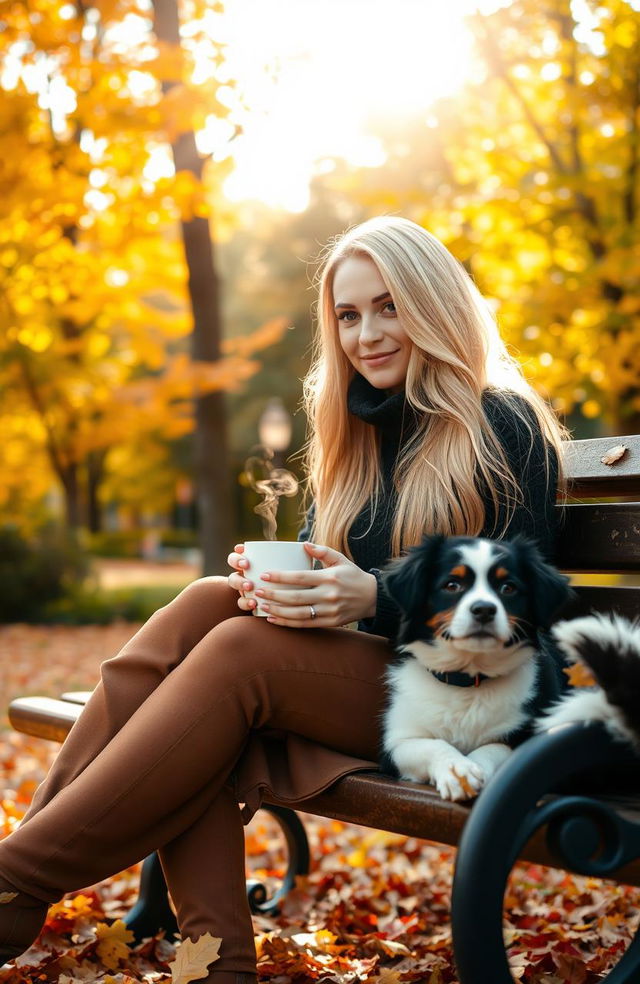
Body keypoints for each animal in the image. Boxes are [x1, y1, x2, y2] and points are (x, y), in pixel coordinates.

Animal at [378, 540, 572, 800]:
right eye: (452, 585)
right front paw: (456, 769)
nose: (484, 610)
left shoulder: (526, 737)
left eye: (508, 588)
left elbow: (493, 748)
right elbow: (432, 744)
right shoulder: (395, 743)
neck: (468, 679)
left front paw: (469, 770)